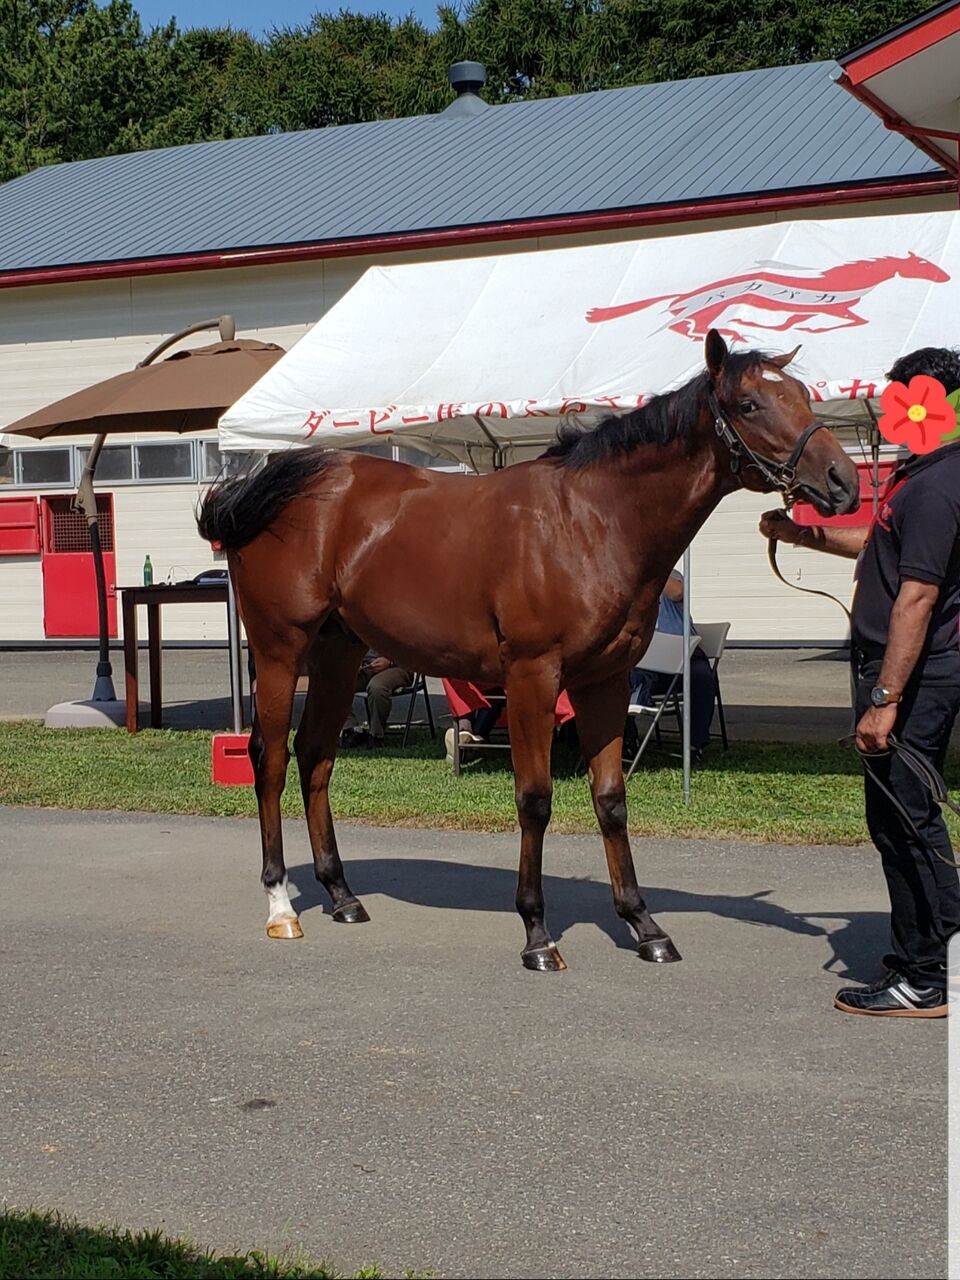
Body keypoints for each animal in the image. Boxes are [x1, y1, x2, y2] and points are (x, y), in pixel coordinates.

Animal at [197, 329, 859, 972]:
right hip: (281, 651)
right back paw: (282, 906)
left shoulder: (605, 682)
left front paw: (644, 926)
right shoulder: (533, 678)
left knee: (316, 757)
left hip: (338, 654)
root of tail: (267, 488)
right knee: (271, 759)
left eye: (802, 396)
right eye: (749, 404)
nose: (844, 482)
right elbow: (535, 799)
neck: (592, 522)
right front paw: (537, 934)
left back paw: (341, 895)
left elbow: (611, 800)